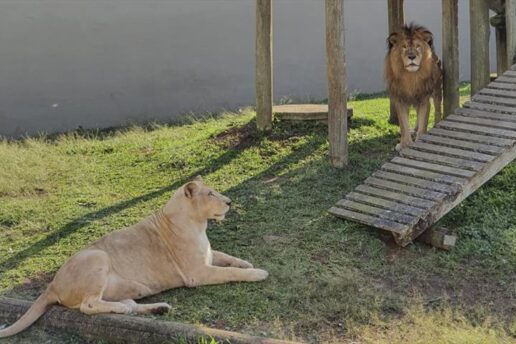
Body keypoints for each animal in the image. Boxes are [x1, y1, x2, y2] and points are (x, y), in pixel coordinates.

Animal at [0, 176, 266, 338]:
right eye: (211, 194)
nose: (229, 202)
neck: (198, 224)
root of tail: (52, 285)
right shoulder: (197, 273)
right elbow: (230, 272)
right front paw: (258, 272)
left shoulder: (208, 257)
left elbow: (228, 258)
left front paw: (246, 262)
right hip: (97, 256)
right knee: (88, 305)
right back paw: (125, 308)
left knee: (127, 304)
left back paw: (157, 308)